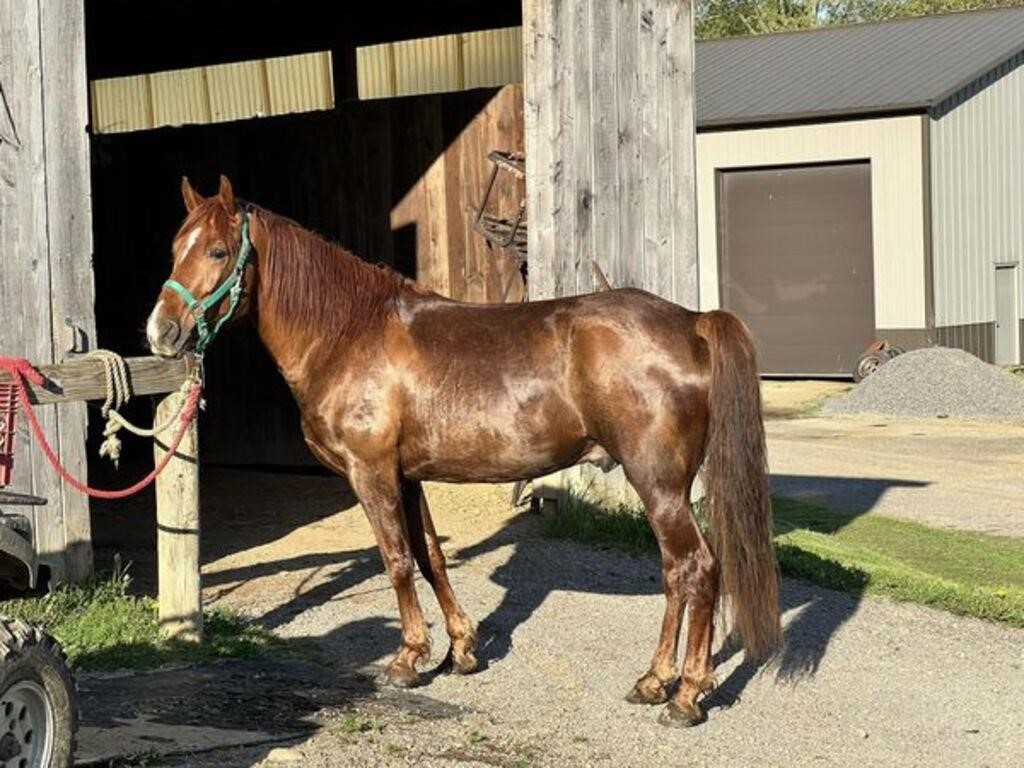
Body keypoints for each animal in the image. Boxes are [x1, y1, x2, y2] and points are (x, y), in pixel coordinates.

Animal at [146, 176, 782, 729]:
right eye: (174, 248)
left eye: (219, 251)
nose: (161, 333)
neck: (348, 334)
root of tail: (692, 322)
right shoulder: (406, 477)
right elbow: (430, 556)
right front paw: (461, 649)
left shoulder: (371, 474)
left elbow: (396, 560)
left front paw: (407, 659)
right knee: (677, 573)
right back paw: (653, 682)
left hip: (658, 483)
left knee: (696, 569)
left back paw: (687, 696)